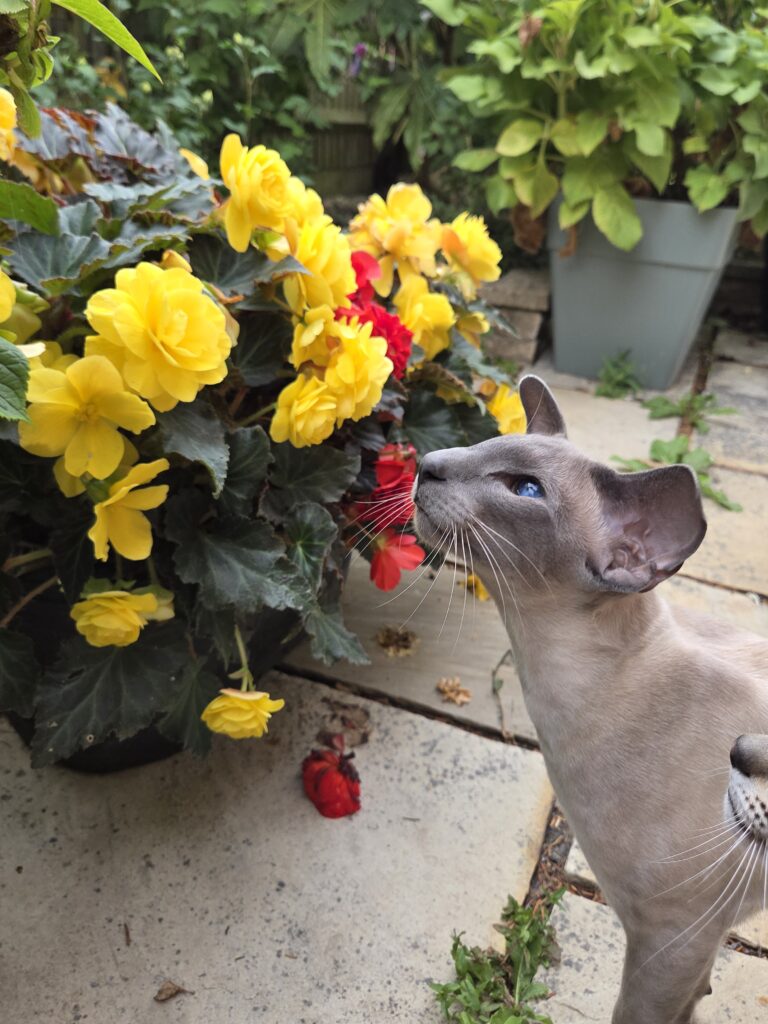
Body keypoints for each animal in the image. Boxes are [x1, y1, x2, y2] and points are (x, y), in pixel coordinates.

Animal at [413, 375, 768, 1024]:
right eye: (484, 444)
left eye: (524, 489)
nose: (427, 463)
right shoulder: (689, 950)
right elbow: (691, 1006)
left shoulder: (672, 941)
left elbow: (638, 1014)